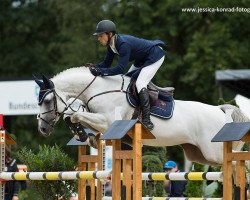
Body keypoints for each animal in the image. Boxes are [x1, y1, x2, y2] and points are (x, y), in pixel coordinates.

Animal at [34, 66, 249, 166]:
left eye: (47, 101)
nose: (42, 129)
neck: (99, 89)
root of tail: (221, 111)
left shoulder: (109, 122)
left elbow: (76, 116)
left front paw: (81, 132)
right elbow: (74, 116)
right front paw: (84, 135)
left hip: (215, 152)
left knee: (240, 162)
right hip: (199, 154)